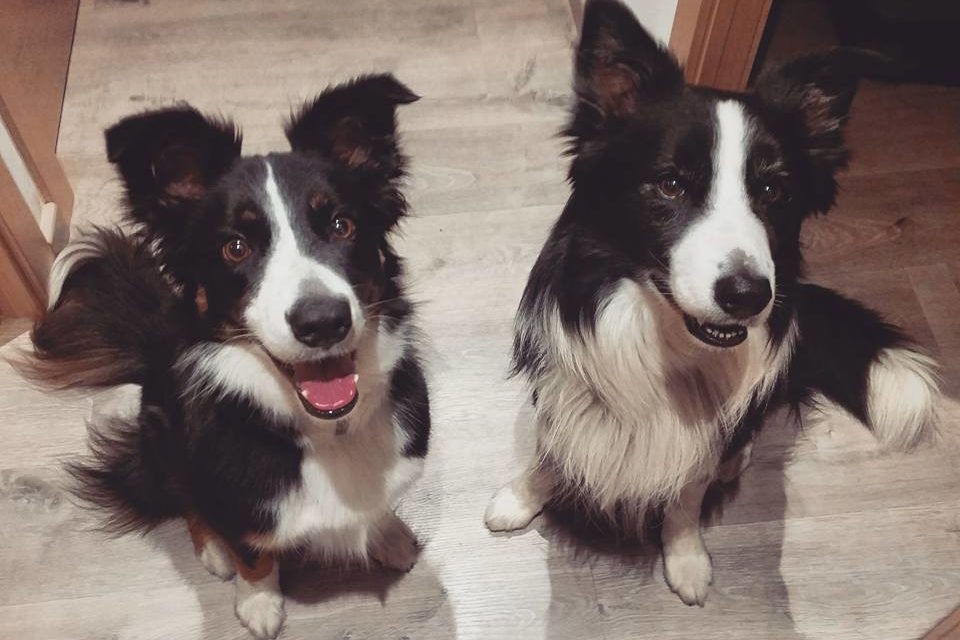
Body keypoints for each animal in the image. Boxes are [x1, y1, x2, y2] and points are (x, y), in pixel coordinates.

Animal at [24, 74, 430, 636]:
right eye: (235, 247)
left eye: (342, 225)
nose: (323, 322)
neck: (324, 431)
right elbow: (251, 551)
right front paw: (257, 601)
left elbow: (379, 503)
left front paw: (388, 533)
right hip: (162, 434)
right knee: (187, 499)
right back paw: (212, 549)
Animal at [484, 0, 940, 608]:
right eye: (671, 184)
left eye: (774, 190)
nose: (748, 295)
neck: (661, 339)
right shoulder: (565, 388)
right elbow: (550, 451)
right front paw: (520, 498)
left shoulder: (702, 435)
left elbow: (686, 495)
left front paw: (686, 559)